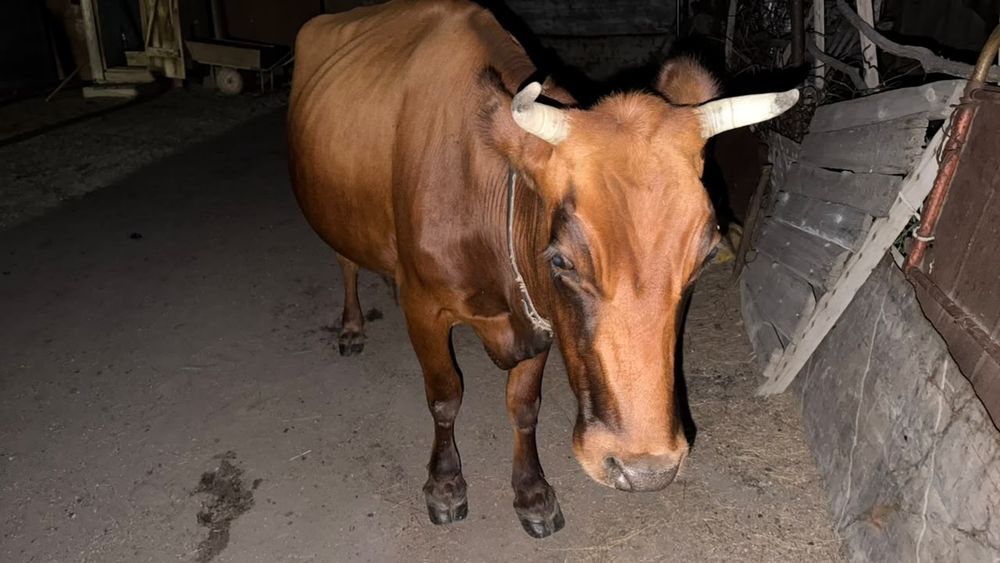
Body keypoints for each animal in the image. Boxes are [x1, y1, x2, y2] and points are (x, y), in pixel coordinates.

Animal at [288, 0, 797, 538]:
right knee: (345, 260)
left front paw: (532, 493)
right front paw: (445, 485)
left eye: (704, 256)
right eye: (562, 260)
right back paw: (351, 327)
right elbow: (445, 396)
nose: (644, 470)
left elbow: (523, 405)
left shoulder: (540, 316)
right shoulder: (425, 308)